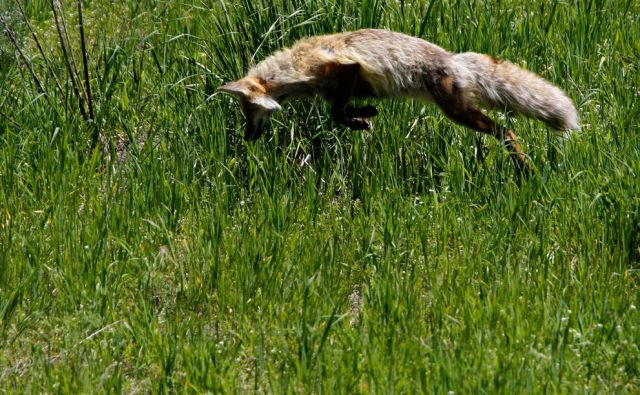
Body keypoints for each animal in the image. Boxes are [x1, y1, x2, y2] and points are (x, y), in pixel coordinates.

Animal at [216, 27, 580, 170]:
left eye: (247, 112)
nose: (247, 137)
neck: (296, 68)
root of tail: (454, 59)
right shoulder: (340, 86)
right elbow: (338, 110)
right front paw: (364, 116)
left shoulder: (346, 70)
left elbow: (336, 112)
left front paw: (362, 119)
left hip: (459, 113)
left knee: (506, 130)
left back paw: (525, 167)